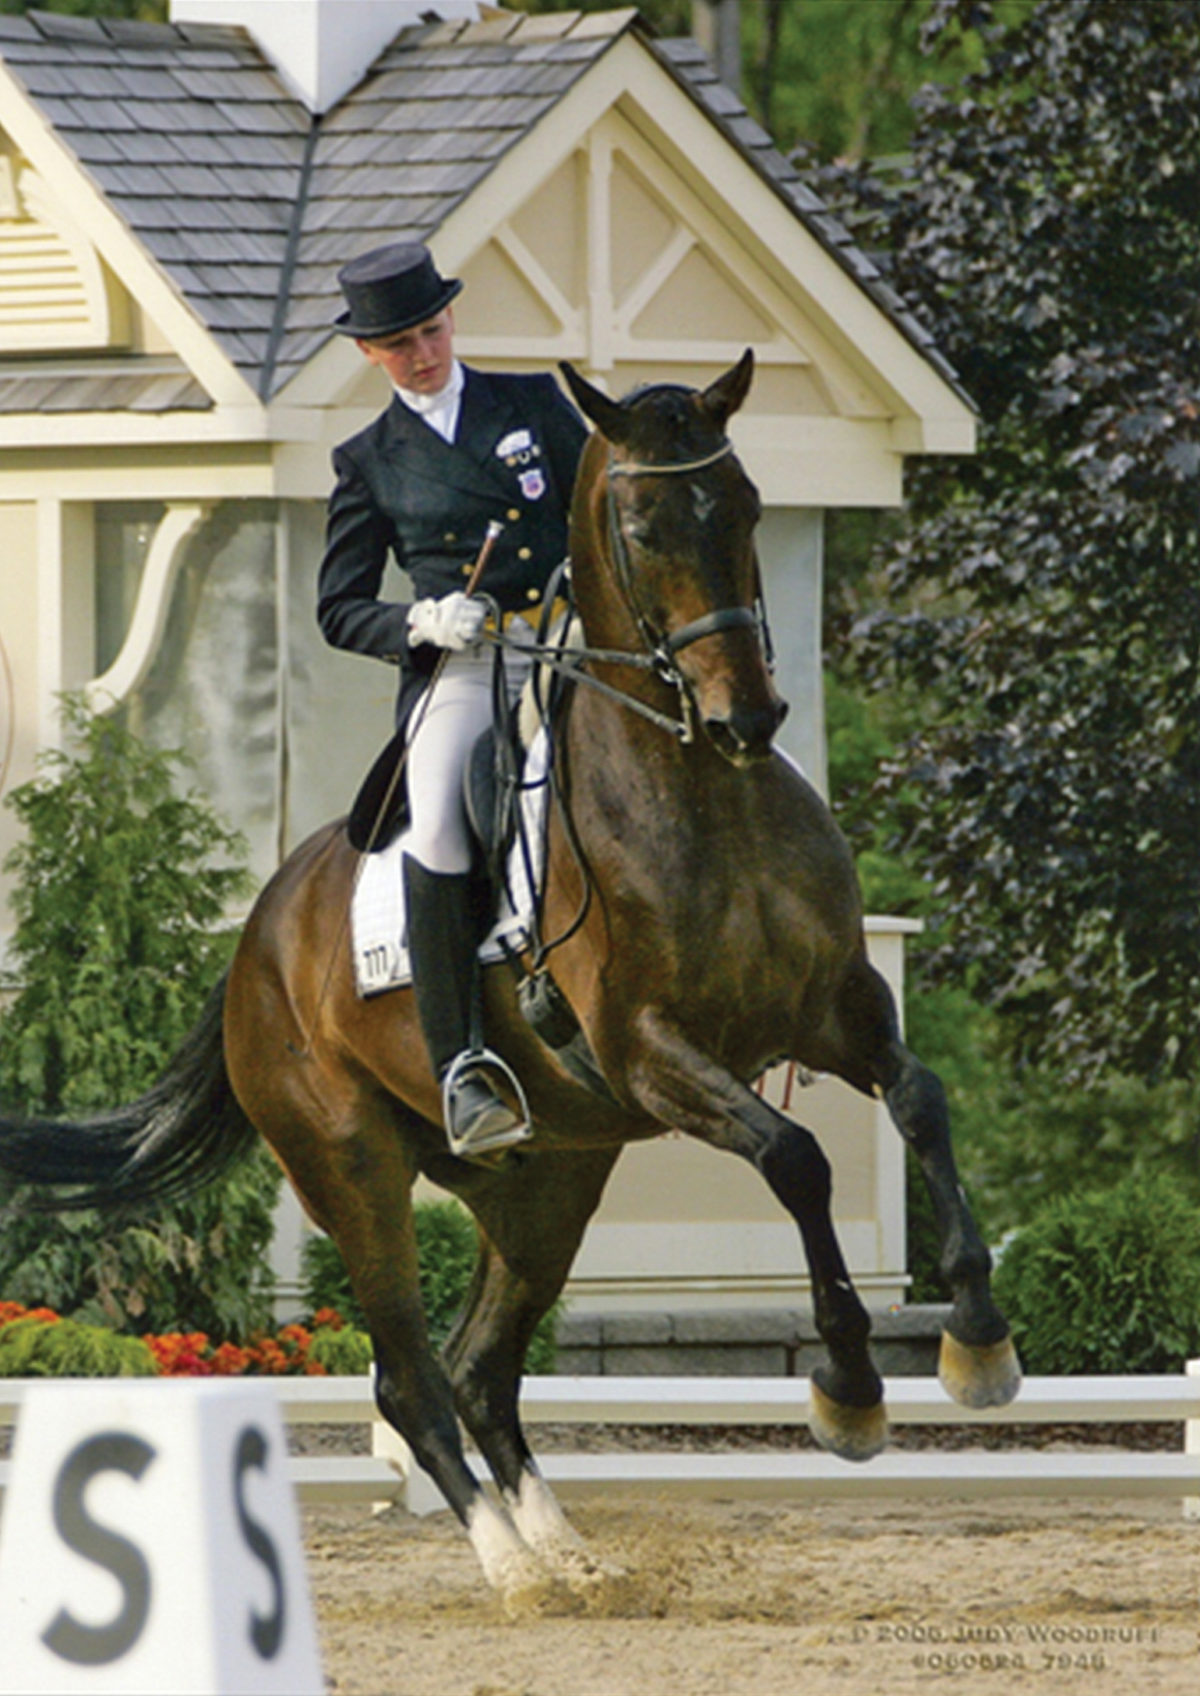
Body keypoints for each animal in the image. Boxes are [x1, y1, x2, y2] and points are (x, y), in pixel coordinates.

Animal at [0, 351, 1020, 1607]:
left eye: (745, 506)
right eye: (642, 525)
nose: (749, 715)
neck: (702, 790)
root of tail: (253, 946)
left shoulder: (835, 1008)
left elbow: (919, 1097)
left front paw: (979, 1338)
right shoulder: (651, 1049)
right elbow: (796, 1157)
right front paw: (849, 1389)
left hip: (549, 1182)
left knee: (481, 1367)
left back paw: (570, 1557)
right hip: (354, 1170)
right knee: (410, 1376)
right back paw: (512, 1566)